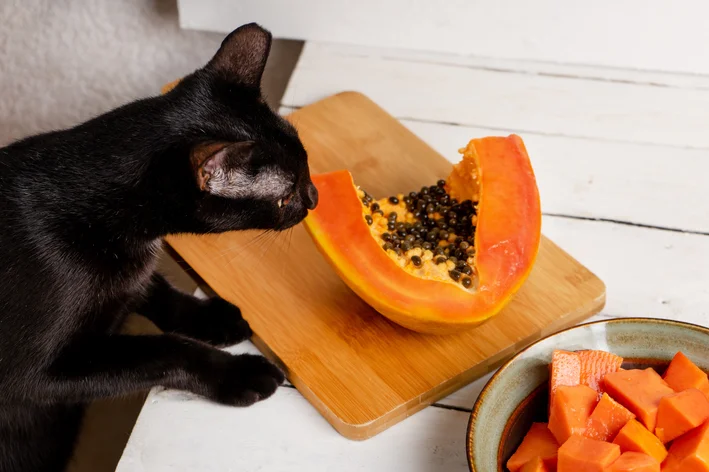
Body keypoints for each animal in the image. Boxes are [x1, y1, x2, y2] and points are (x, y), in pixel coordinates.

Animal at [0, 23, 316, 472]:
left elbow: (157, 290)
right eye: (285, 197)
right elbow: (162, 351)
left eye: (306, 164)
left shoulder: (132, 273)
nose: (315, 197)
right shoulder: (33, 377)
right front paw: (236, 374)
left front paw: (213, 318)